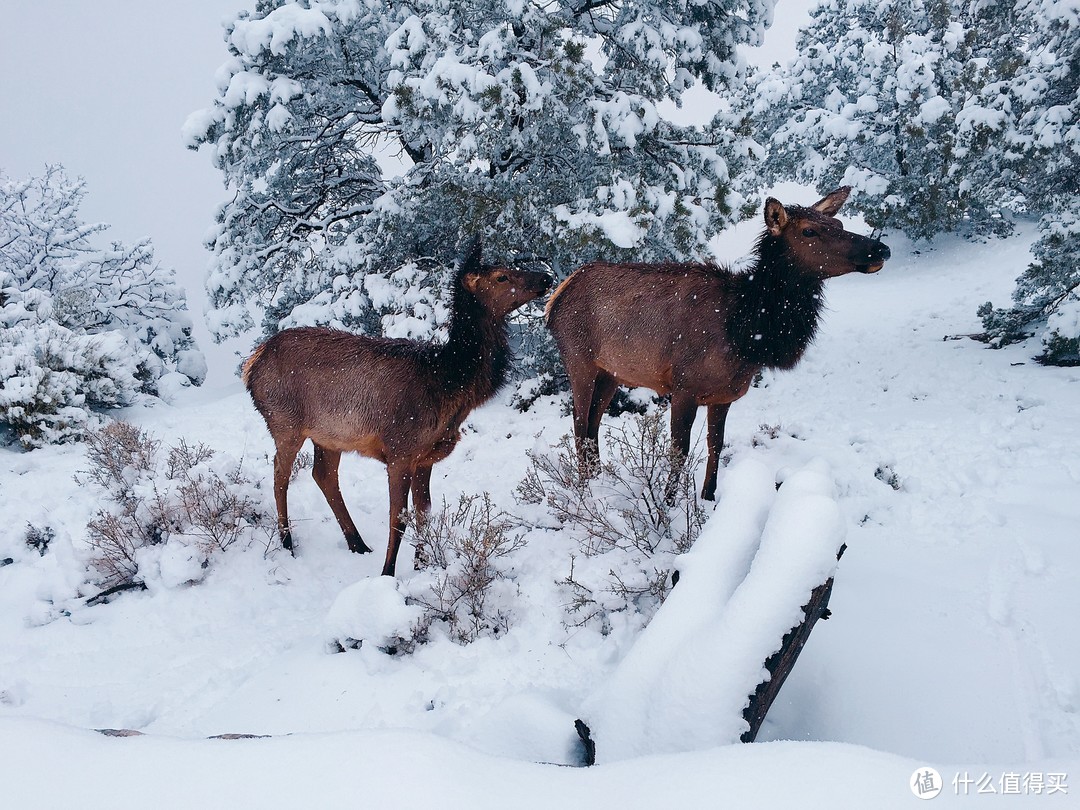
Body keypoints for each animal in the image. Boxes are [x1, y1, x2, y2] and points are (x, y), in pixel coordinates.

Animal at [241, 239, 552, 578]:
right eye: (501, 277)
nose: (546, 278)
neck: (451, 384)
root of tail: (253, 362)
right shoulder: (400, 450)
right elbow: (398, 518)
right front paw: (388, 572)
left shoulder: (426, 457)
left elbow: (424, 512)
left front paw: (422, 564)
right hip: (285, 423)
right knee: (280, 475)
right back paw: (287, 542)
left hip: (329, 436)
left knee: (323, 475)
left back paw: (357, 543)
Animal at [544, 186, 889, 501]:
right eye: (809, 231)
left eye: (839, 224)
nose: (880, 249)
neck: (745, 332)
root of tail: (556, 296)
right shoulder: (684, 387)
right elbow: (679, 452)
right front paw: (667, 507)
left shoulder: (724, 395)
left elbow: (716, 446)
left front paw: (709, 498)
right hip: (579, 360)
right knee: (579, 424)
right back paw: (585, 488)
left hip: (612, 373)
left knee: (593, 423)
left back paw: (596, 479)